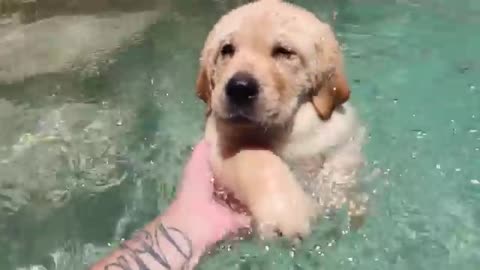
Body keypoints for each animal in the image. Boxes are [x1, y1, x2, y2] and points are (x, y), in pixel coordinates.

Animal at [193, 0, 366, 239]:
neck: (284, 130)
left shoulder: (344, 137)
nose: (239, 88)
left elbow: (341, 170)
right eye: (226, 50)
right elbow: (257, 157)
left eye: (284, 52)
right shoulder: (221, 145)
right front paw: (287, 211)